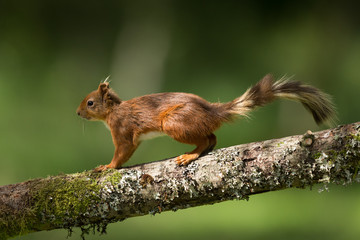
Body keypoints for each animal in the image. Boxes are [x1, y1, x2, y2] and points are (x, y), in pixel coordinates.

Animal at [76, 74, 338, 172]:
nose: (77, 113)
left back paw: (190, 155)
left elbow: (123, 151)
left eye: (90, 103)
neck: (113, 111)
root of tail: (213, 112)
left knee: (207, 138)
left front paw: (106, 167)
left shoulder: (122, 128)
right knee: (211, 138)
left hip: (174, 122)